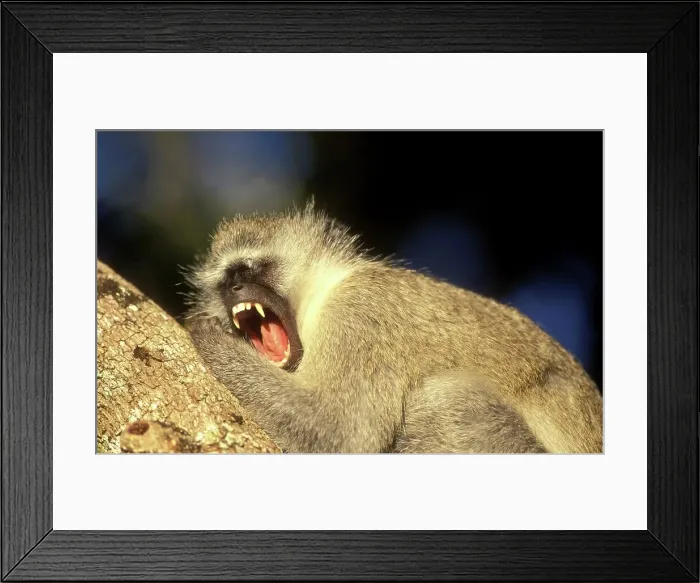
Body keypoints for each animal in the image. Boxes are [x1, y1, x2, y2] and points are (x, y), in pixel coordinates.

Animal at [183, 200, 603, 454]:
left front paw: (200, 332)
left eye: (250, 269)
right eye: (224, 281)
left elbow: (339, 429)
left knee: (450, 399)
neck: (324, 293)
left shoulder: (361, 311)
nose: (234, 288)